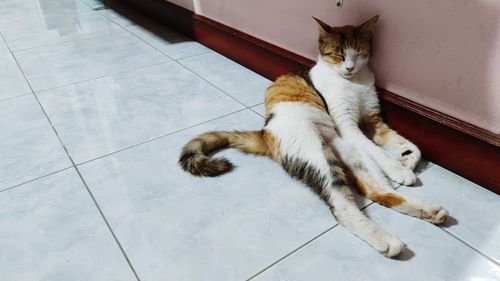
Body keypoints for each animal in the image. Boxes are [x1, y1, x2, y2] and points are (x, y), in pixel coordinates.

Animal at [179, 14, 450, 256]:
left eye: (359, 53)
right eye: (338, 54)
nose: (349, 68)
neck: (355, 82)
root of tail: (266, 132)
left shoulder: (373, 120)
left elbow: (405, 143)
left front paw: (408, 160)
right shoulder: (347, 127)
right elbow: (378, 151)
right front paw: (400, 169)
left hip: (353, 156)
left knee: (379, 192)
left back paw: (428, 211)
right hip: (317, 155)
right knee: (341, 205)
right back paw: (386, 240)